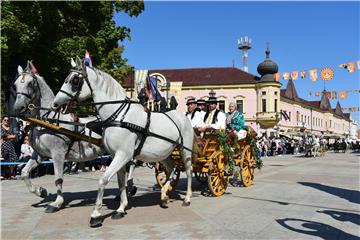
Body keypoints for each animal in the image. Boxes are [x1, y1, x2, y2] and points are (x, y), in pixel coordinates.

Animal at [11, 61, 107, 212]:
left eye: (31, 83)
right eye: (15, 85)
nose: (17, 109)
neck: (47, 120)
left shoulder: (57, 154)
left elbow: (58, 179)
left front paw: (57, 203)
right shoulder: (39, 154)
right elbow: (25, 173)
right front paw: (40, 191)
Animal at [51, 57, 194, 228]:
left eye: (75, 80)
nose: (55, 103)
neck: (118, 116)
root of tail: (183, 117)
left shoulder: (123, 155)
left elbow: (104, 180)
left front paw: (96, 215)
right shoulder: (116, 156)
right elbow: (121, 183)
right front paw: (120, 208)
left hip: (185, 151)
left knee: (188, 171)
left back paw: (187, 199)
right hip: (164, 154)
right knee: (172, 169)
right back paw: (164, 196)